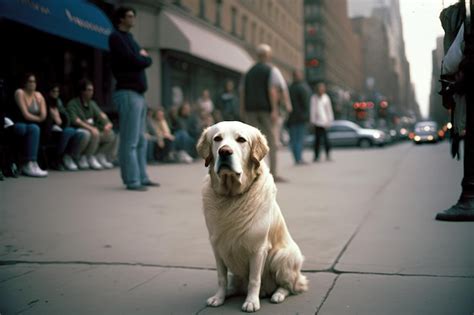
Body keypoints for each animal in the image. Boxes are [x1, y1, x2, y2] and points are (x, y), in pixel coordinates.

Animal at [195, 121, 308, 314]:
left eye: (241, 140)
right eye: (217, 139)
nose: (224, 151)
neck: (231, 197)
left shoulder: (258, 249)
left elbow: (254, 280)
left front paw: (251, 302)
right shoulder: (217, 247)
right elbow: (221, 277)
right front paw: (219, 298)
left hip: (282, 256)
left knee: (291, 286)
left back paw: (277, 295)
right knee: (235, 284)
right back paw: (231, 292)